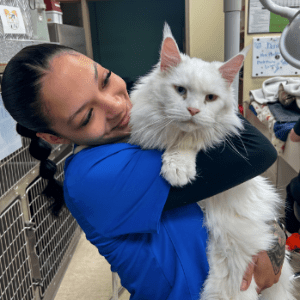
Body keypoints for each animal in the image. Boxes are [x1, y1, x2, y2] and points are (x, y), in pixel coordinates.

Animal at [129, 24, 296, 300]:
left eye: (210, 98)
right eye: (180, 91)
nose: (193, 111)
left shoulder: (210, 135)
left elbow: (190, 141)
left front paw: (178, 167)